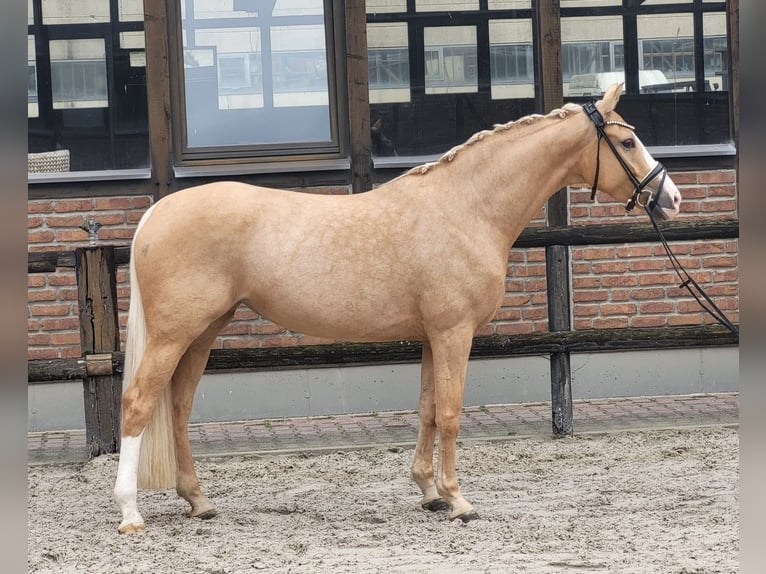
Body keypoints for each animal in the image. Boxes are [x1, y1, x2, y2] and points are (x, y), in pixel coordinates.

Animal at [115, 84, 684, 536]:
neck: (466, 207)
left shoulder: (432, 336)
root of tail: (157, 213)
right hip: (174, 334)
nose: (671, 198)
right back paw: (130, 513)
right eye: (628, 142)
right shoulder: (454, 333)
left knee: (178, 407)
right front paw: (458, 500)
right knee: (139, 404)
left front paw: (429, 492)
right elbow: (451, 412)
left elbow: (428, 408)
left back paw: (199, 501)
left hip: (204, 330)